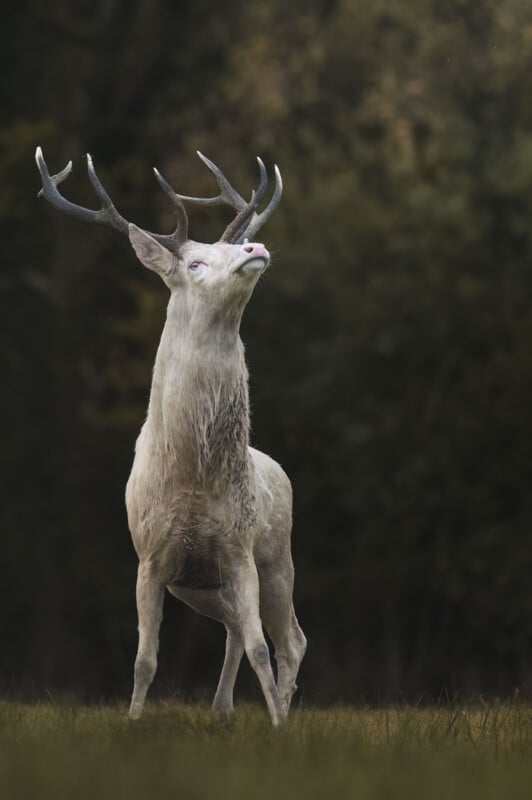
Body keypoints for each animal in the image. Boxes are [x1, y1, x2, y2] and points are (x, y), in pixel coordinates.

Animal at [35, 146, 306, 726]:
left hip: (278, 555)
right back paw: (222, 710)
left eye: (231, 246)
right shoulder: (151, 555)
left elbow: (261, 649)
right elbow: (144, 658)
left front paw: (276, 726)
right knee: (234, 629)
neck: (191, 479)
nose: (255, 245)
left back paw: (280, 712)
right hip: (200, 586)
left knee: (289, 640)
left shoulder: (239, 547)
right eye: (195, 261)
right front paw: (133, 721)